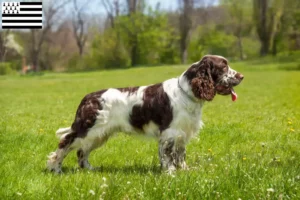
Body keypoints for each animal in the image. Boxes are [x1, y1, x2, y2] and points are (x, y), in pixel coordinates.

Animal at [47, 55, 244, 173]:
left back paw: (89, 169)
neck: (186, 92)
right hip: (88, 129)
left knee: (82, 151)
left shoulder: (182, 133)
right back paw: (55, 168)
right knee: (65, 142)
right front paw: (170, 173)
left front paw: (184, 170)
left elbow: (180, 154)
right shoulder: (169, 133)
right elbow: (168, 155)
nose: (241, 76)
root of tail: (88, 98)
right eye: (223, 66)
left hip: (99, 134)